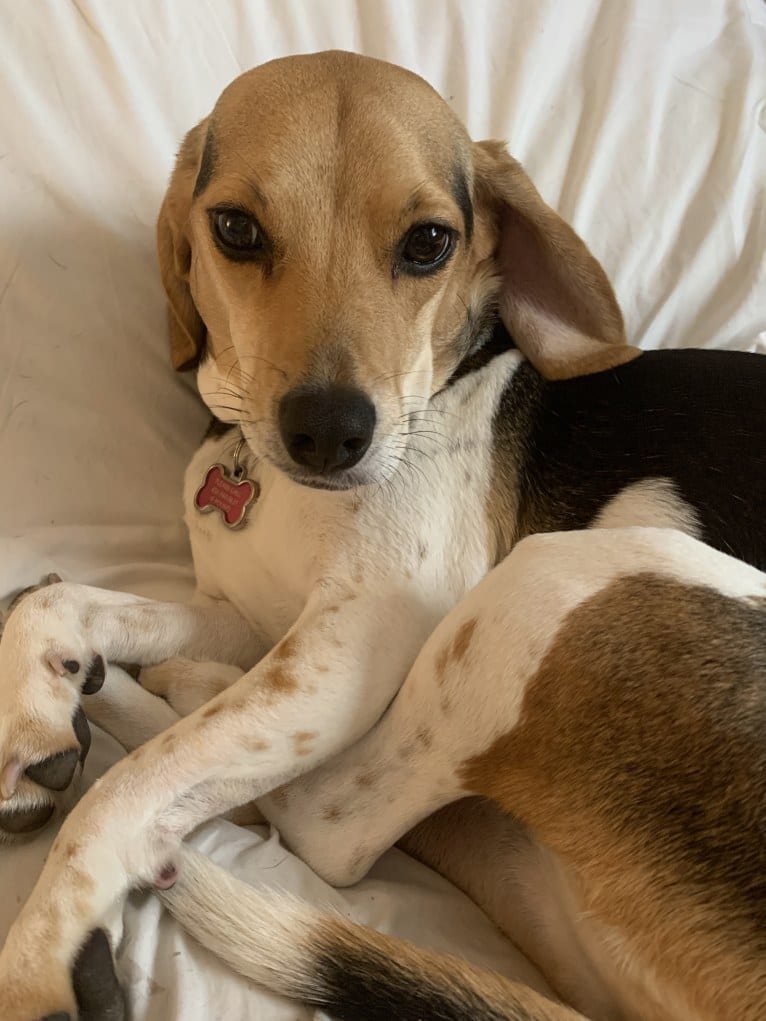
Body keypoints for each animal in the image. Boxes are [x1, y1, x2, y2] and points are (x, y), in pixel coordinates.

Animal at [0, 51, 763, 1021]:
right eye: (237, 229)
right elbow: (54, 598)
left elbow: (130, 793)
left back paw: (167, 700)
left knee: (331, 828)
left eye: (429, 243)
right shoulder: (256, 616)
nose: (329, 431)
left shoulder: (354, 638)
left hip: (565, 582)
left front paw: (41, 955)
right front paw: (40, 696)